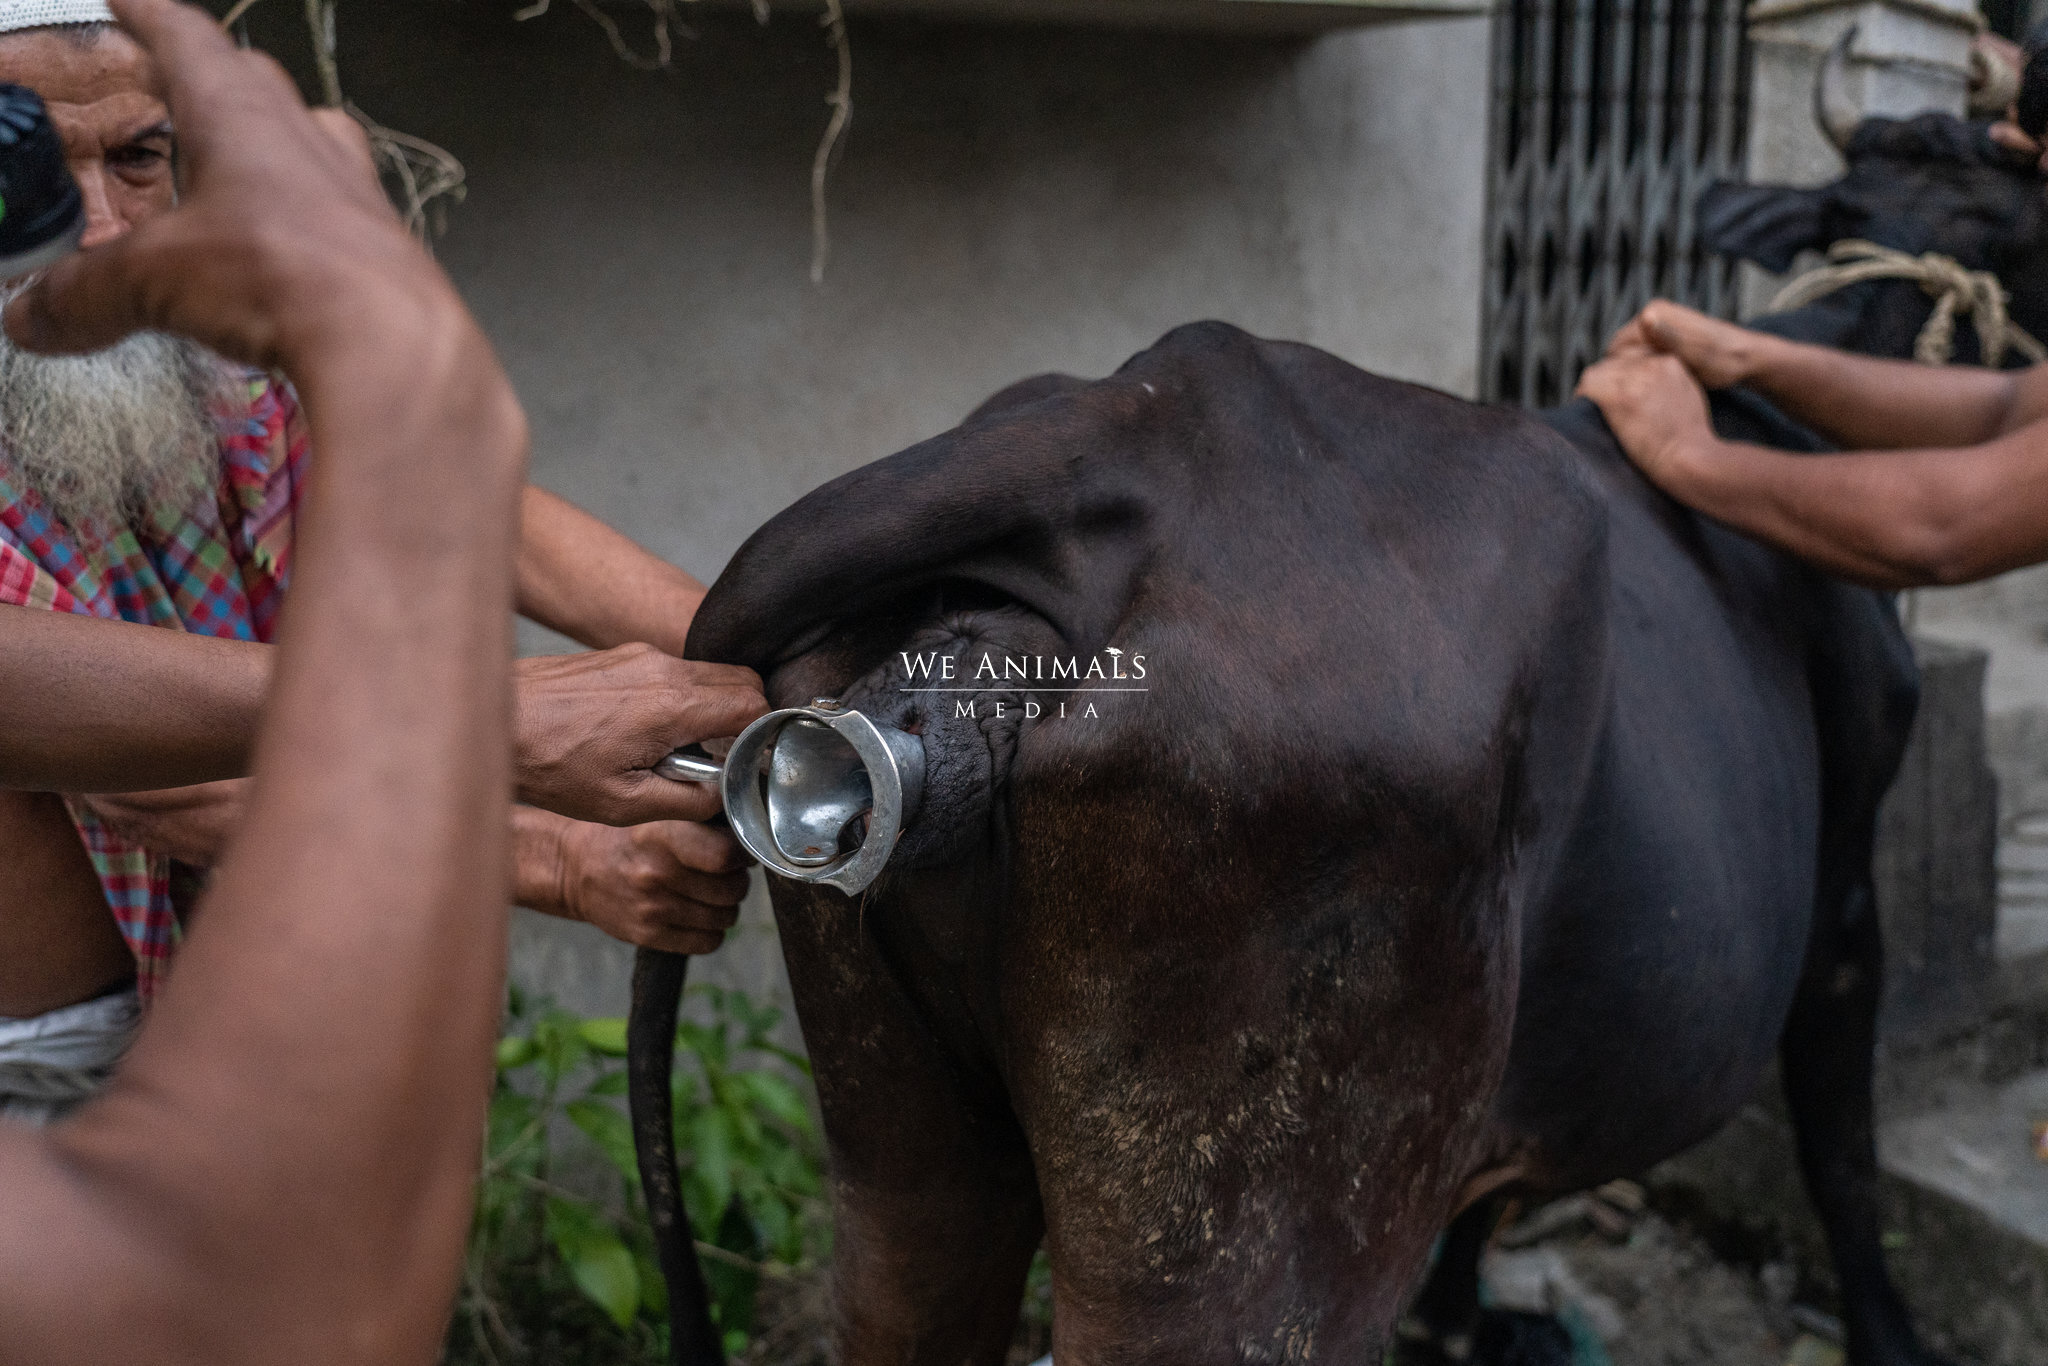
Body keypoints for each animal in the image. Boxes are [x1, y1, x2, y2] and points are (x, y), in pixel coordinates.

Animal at [634, 321, 1933, 1366]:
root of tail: (1126, 423)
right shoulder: (1847, 880)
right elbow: (1841, 1141)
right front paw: (1887, 1334)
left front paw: (1457, 1318)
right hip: (1248, 1249)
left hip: (904, 1161)